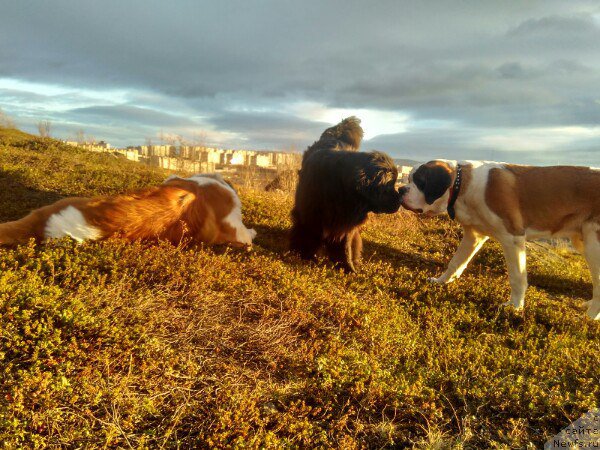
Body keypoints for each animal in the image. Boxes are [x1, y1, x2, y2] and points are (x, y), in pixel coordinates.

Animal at [290, 117, 404, 270]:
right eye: (389, 185)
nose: (400, 200)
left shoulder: (346, 224)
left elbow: (345, 245)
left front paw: (348, 267)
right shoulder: (312, 216)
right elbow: (310, 236)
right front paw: (307, 258)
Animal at [398, 159, 600, 320]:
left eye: (420, 181)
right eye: (408, 179)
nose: (400, 189)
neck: (461, 185)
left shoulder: (513, 238)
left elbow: (517, 277)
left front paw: (515, 307)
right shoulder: (474, 236)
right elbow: (456, 262)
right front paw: (442, 281)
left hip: (594, 244)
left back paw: (589, 318)